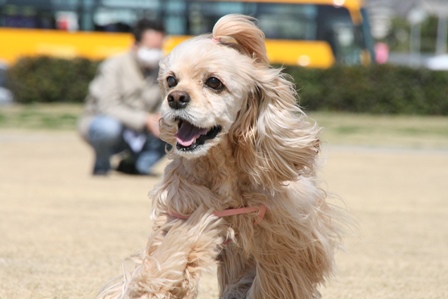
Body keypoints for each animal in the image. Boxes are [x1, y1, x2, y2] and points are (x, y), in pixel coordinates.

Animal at [98, 14, 344, 299]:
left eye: (214, 82)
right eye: (171, 80)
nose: (175, 98)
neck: (222, 168)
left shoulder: (286, 231)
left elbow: (274, 274)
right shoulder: (180, 206)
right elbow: (167, 257)